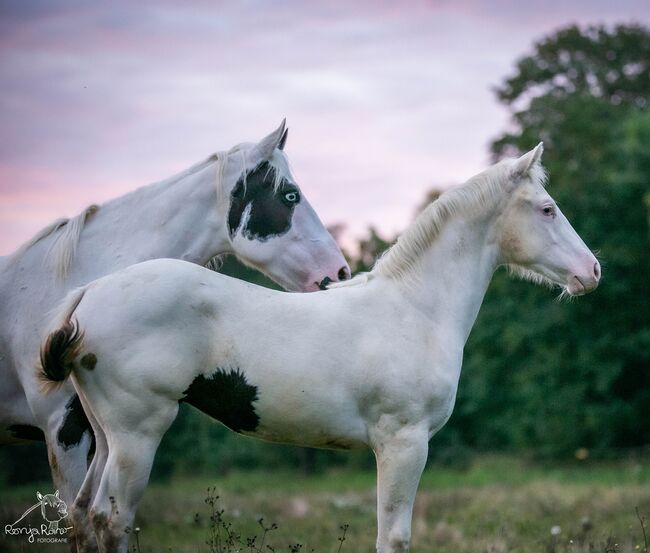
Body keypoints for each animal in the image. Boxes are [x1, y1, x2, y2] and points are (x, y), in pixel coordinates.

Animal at [39, 143, 596, 552]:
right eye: (547, 209)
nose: (591, 271)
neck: (414, 308)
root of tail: (89, 293)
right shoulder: (404, 443)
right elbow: (393, 537)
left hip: (106, 434)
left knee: (85, 516)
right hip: (138, 434)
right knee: (112, 520)